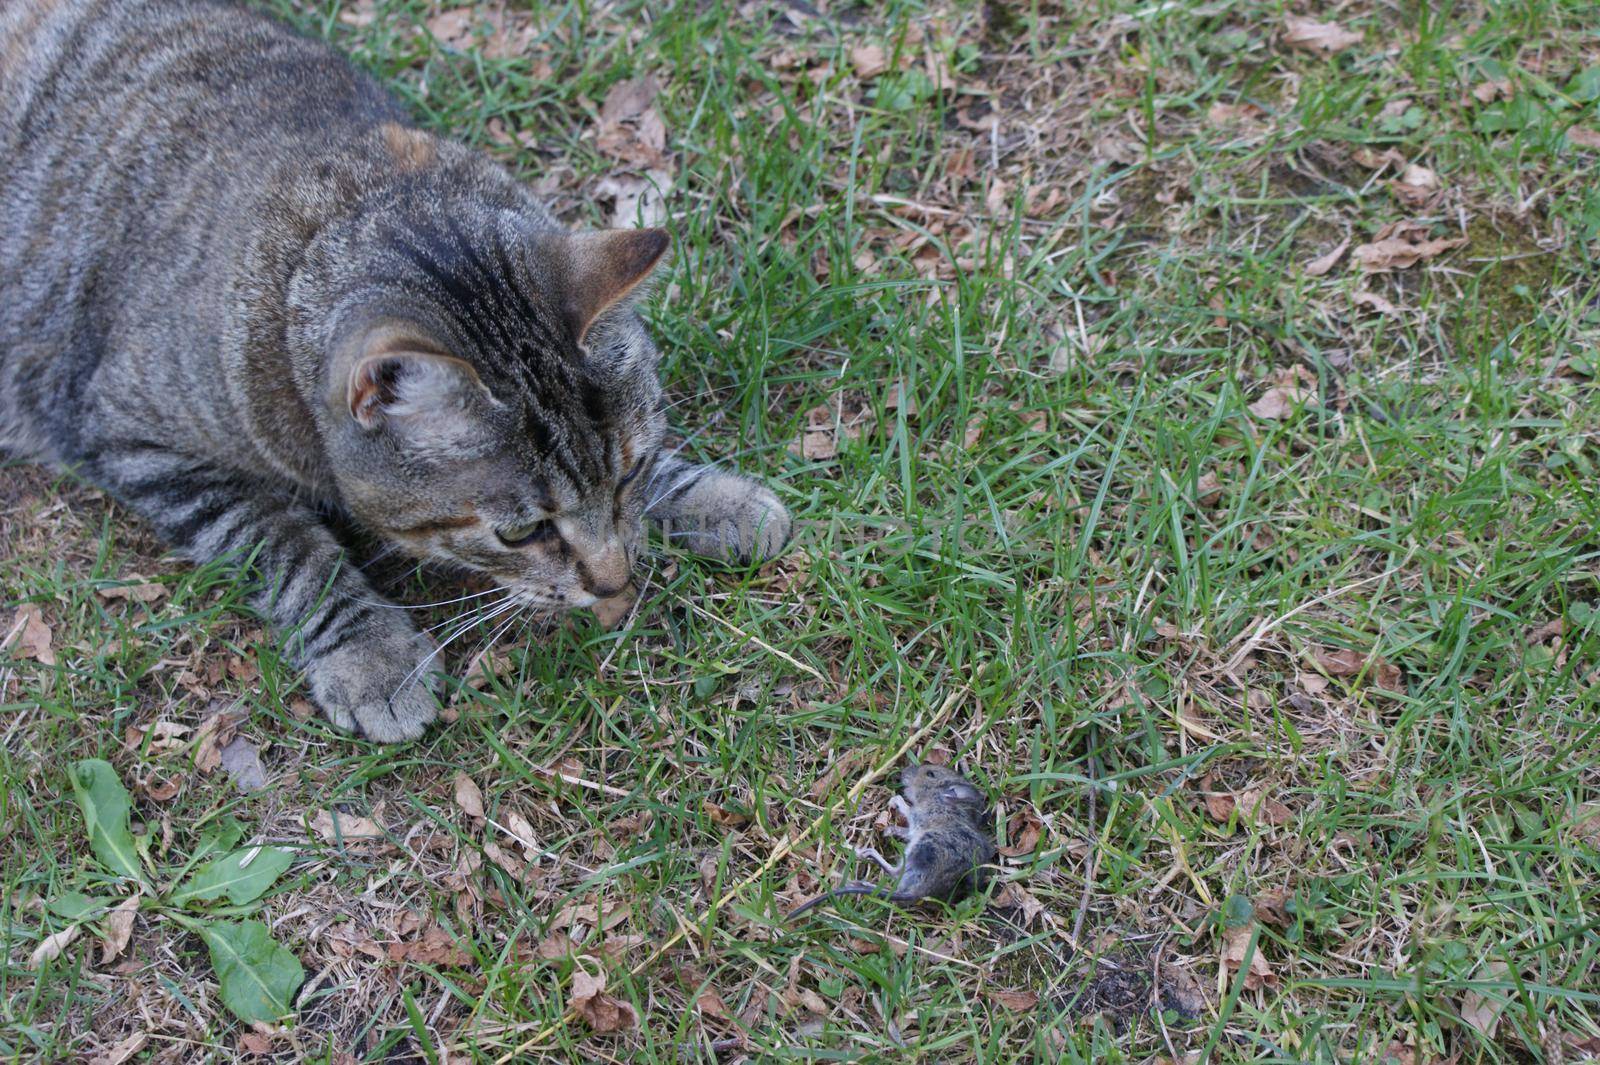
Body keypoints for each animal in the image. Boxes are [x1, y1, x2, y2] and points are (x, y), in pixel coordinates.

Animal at [1, 0, 793, 738]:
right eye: (521, 534)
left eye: (630, 473)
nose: (613, 581)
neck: (338, 211)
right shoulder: (132, 437)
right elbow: (282, 544)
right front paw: (372, 653)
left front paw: (708, 497)